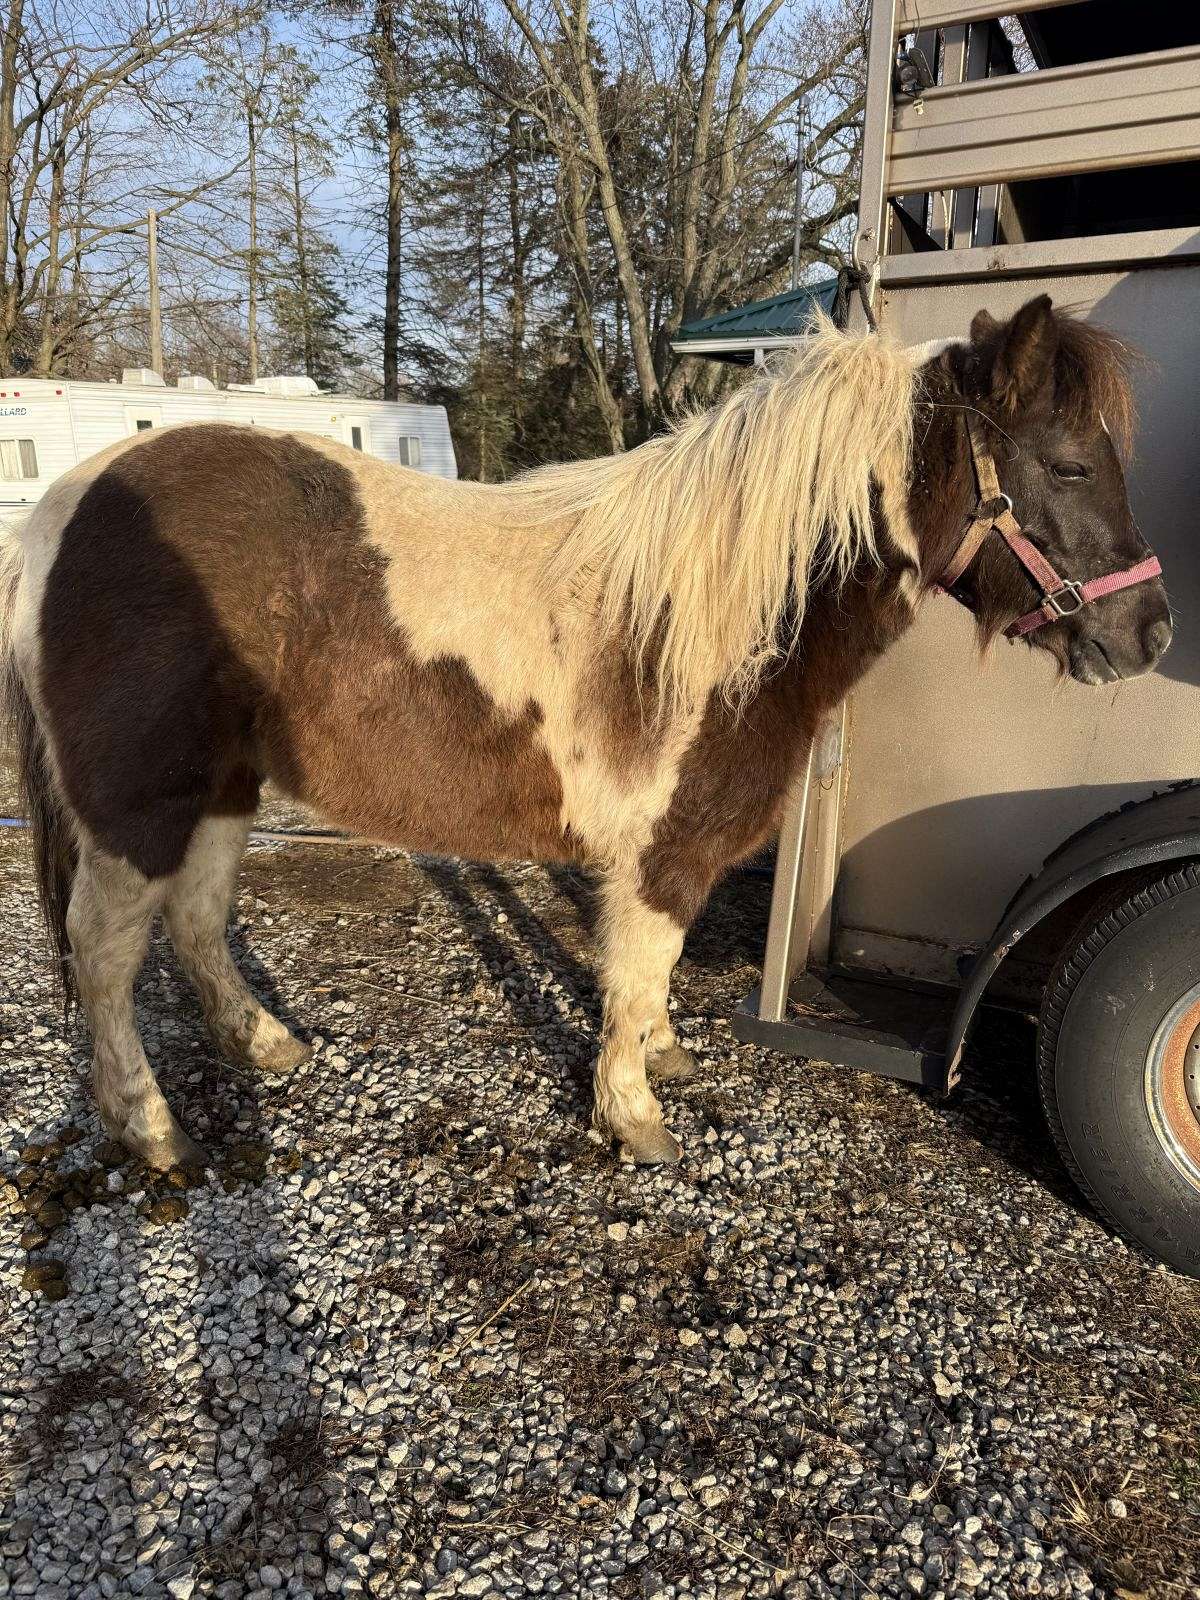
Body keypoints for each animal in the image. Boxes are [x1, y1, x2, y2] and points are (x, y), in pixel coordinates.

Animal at [0, 293, 1171, 1174]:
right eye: (1069, 466)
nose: (1151, 632)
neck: (725, 610)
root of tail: (62, 508)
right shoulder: (660, 851)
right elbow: (639, 965)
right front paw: (633, 1113)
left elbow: (652, 969)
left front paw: (662, 1059)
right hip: (137, 812)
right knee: (105, 956)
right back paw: (151, 1129)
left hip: (223, 789)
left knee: (198, 923)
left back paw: (268, 1045)